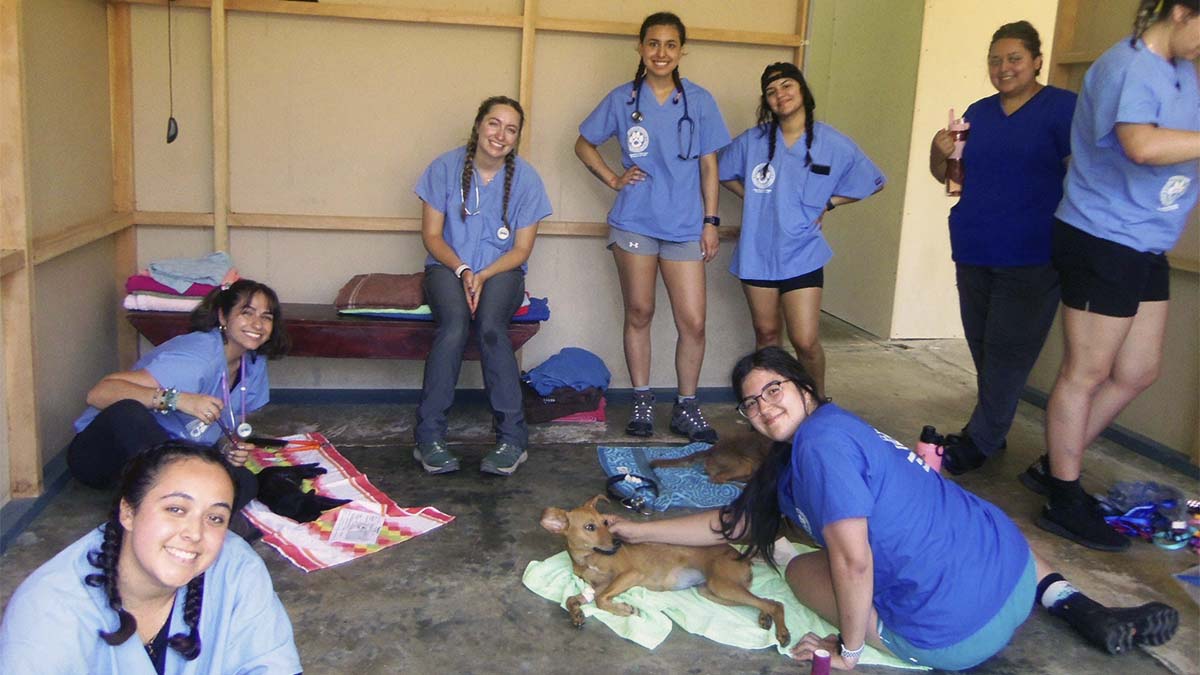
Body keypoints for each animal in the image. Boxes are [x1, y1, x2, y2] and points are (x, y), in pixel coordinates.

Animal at [542, 494, 787, 638]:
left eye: (605, 522)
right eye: (590, 527)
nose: (618, 542)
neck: (589, 558)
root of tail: (741, 556)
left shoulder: (630, 574)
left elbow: (602, 600)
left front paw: (624, 609)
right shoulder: (599, 585)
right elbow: (573, 598)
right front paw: (576, 614)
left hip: (722, 585)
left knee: (774, 604)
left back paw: (782, 632)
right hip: (712, 591)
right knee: (767, 601)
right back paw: (765, 617)